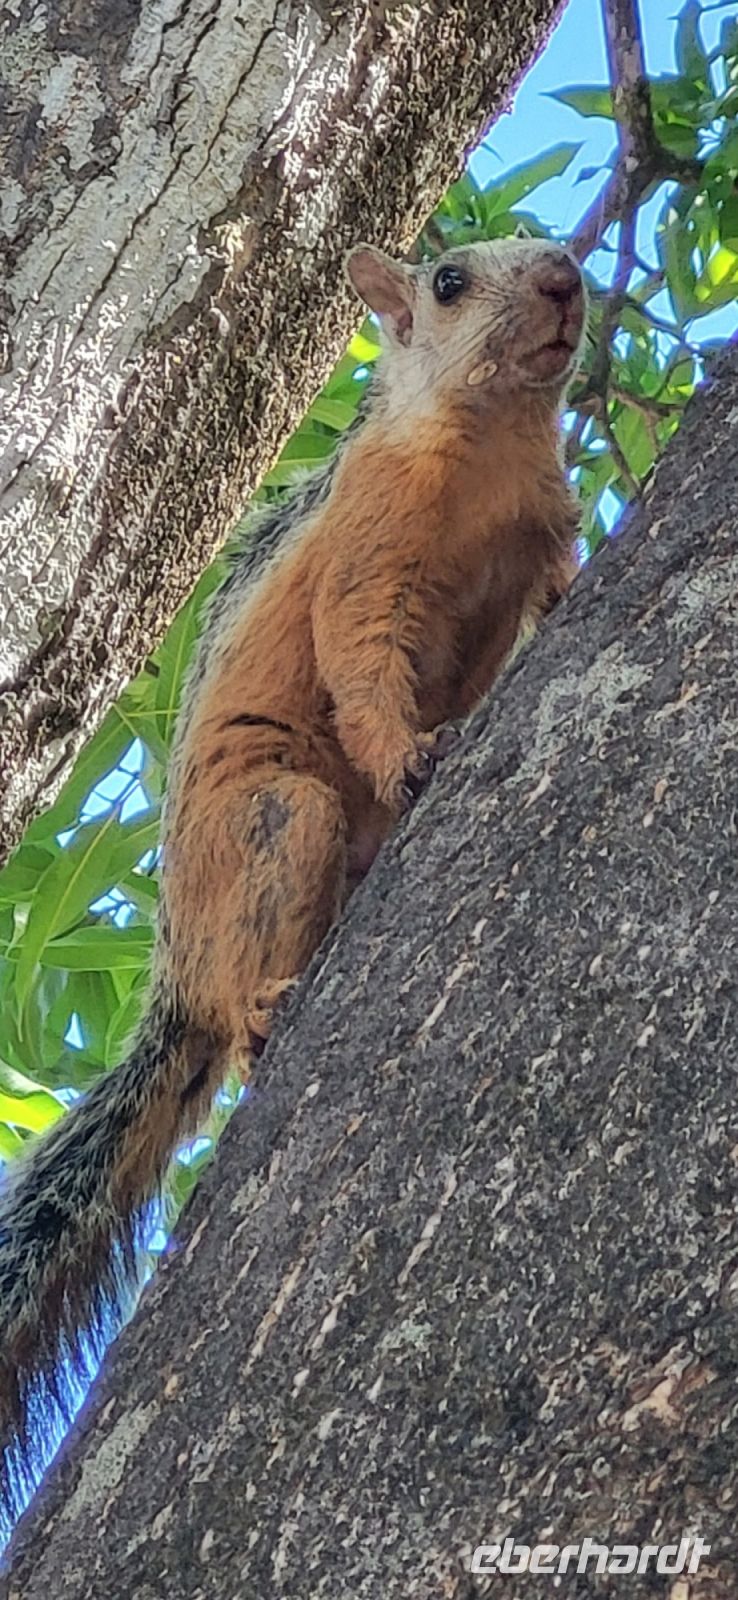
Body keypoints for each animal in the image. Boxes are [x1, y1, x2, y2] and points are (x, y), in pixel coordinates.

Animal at [0, 236, 584, 1521]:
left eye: (553, 256)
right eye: (451, 280)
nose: (568, 276)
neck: (486, 443)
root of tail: (177, 970)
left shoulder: (540, 533)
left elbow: (544, 589)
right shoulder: (366, 557)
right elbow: (360, 668)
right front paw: (408, 753)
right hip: (277, 820)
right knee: (243, 990)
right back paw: (265, 1004)